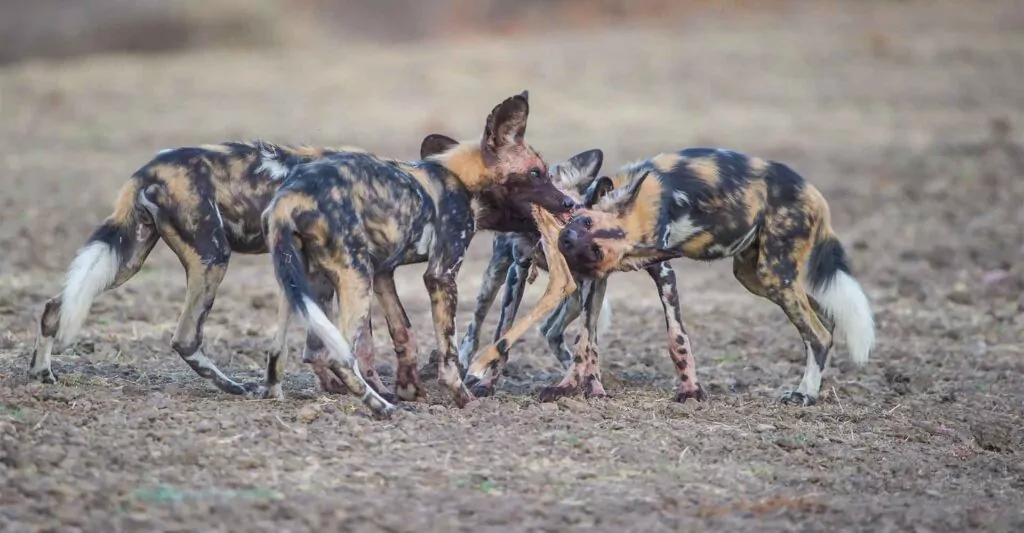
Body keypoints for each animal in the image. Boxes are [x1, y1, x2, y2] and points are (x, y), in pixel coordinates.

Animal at [29, 141, 380, 394]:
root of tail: (148, 170)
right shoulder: (345, 273)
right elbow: (351, 342)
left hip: (128, 258)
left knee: (56, 306)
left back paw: (41, 373)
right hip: (213, 256)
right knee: (185, 337)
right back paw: (234, 387)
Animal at [258, 91, 577, 413]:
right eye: (536, 173)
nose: (570, 204)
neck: (461, 179)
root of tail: (291, 195)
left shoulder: (383, 273)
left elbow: (405, 332)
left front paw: (410, 388)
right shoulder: (441, 275)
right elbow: (449, 353)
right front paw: (463, 398)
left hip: (300, 282)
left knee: (283, 351)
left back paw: (275, 394)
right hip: (355, 279)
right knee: (338, 356)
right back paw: (380, 407)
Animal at [458, 147, 614, 372]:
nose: (569, 240)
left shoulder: (585, 283)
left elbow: (587, 337)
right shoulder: (517, 270)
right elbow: (502, 333)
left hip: (574, 298)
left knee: (551, 330)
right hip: (494, 277)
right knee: (476, 323)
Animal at [552, 147, 872, 405]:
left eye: (595, 250)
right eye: (585, 221)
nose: (566, 239)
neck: (639, 210)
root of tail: (815, 194)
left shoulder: (664, 272)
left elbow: (677, 338)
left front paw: (690, 391)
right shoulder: (596, 282)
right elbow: (585, 341)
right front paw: (572, 387)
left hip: (773, 276)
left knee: (817, 335)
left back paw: (804, 393)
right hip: (756, 278)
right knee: (826, 320)